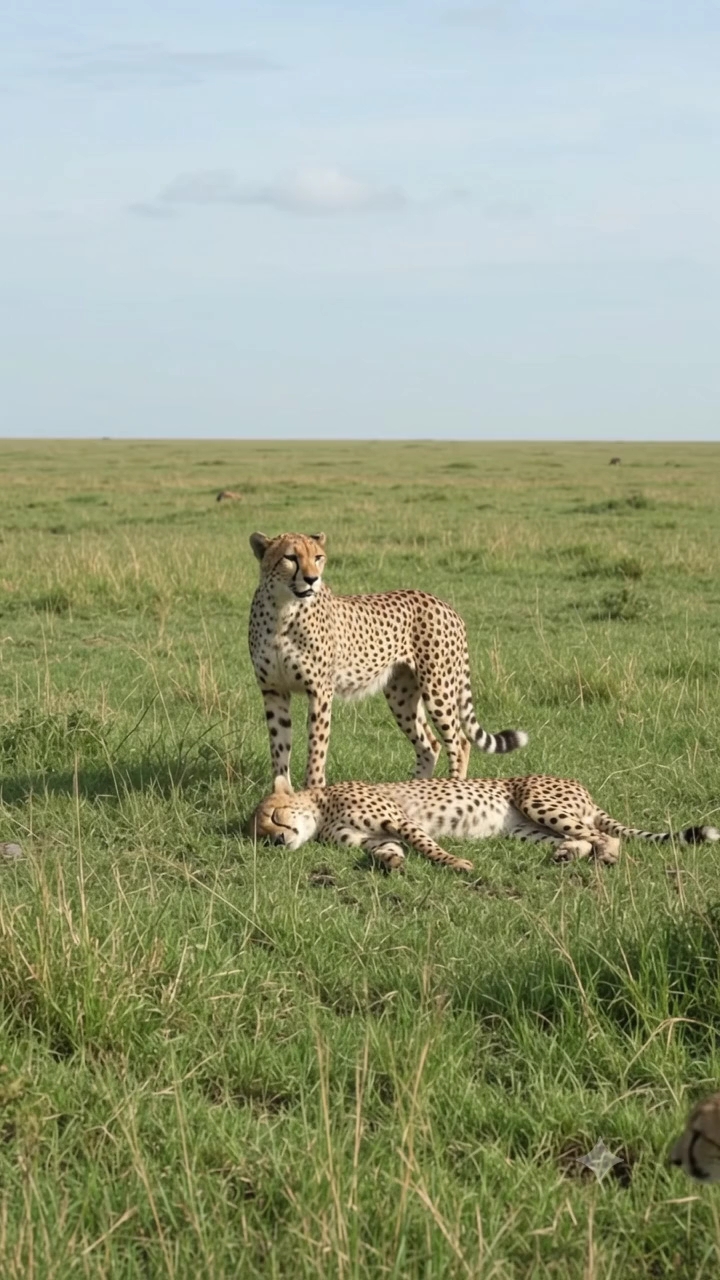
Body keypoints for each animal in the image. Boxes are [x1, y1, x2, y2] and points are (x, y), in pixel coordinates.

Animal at [248, 530, 527, 789]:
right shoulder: (274, 690)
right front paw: (281, 792)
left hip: (437, 688)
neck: (283, 610)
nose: (312, 579)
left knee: (460, 742)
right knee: (430, 744)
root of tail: (444, 604)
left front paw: (314, 792)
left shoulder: (320, 691)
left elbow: (317, 748)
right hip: (402, 694)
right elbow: (279, 748)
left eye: (318, 557)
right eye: (290, 558)